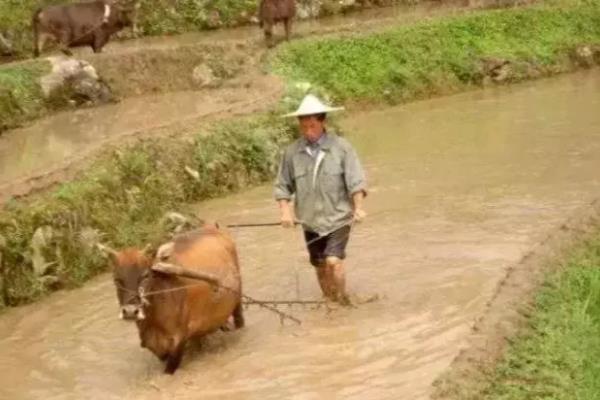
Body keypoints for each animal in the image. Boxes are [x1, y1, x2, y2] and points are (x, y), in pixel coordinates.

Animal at [101, 223, 244, 374]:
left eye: (145, 275)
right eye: (117, 279)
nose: (130, 311)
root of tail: (212, 227)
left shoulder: (177, 343)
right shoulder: (154, 346)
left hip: (237, 300)